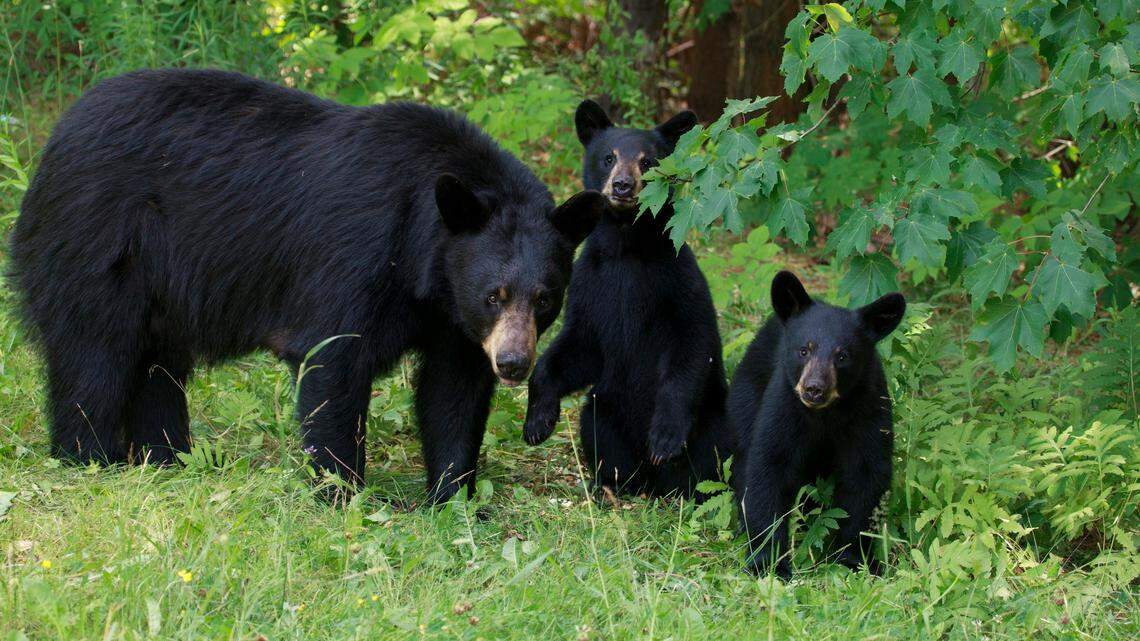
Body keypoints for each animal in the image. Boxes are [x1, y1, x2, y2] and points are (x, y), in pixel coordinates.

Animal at [9, 68, 606, 504]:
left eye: (545, 299)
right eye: (494, 295)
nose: (513, 363)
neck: (422, 260)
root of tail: (54, 139)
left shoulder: (451, 317)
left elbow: (452, 392)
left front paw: (453, 496)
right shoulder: (354, 257)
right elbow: (333, 362)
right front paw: (342, 491)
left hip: (161, 290)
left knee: (157, 366)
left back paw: (171, 456)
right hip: (98, 245)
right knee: (94, 355)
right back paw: (92, 457)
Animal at [522, 99, 733, 498]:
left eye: (647, 162)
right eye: (609, 157)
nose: (622, 186)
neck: (626, 249)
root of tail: (656, 486)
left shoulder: (678, 282)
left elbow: (692, 344)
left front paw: (665, 437)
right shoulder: (590, 284)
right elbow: (578, 345)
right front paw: (538, 420)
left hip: (712, 419)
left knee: (713, 457)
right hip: (606, 408)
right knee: (598, 428)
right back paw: (609, 484)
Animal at [728, 270, 905, 577]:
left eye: (842, 355)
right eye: (804, 350)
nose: (814, 388)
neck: (826, 414)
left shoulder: (869, 408)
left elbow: (865, 475)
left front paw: (854, 559)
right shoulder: (784, 406)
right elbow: (768, 468)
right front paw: (768, 563)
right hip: (746, 398)